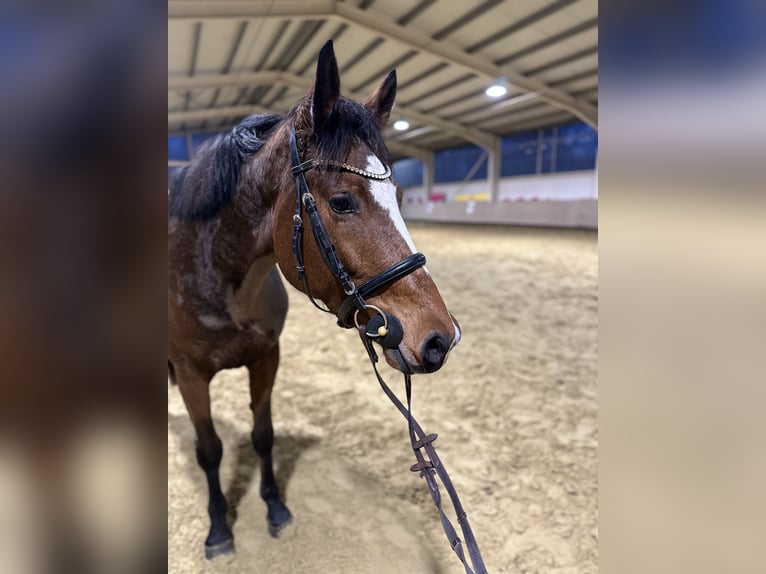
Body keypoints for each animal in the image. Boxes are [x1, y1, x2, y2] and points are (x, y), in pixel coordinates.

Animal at [168, 40, 461, 560]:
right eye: (342, 201)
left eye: (400, 194)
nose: (438, 339)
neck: (214, 274)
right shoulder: (190, 374)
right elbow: (210, 451)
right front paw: (219, 529)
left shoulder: (267, 357)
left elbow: (263, 436)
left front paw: (274, 507)